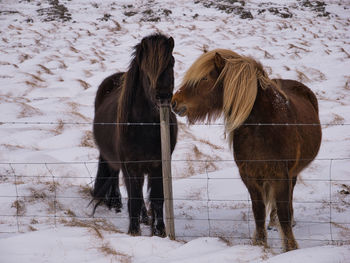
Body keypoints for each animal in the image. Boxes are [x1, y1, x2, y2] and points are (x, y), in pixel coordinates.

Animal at [92, 34, 178, 238]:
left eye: (171, 62)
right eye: (146, 68)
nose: (163, 96)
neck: (144, 126)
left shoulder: (158, 165)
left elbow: (157, 199)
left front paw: (160, 231)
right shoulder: (130, 166)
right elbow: (135, 198)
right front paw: (133, 231)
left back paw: (145, 217)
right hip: (112, 157)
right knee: (114, 175)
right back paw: (116, 203)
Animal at [171, 49, 322, 252]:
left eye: (204, 78)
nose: (174, 102)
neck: (262, 127)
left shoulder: (281, 174)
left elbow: (283, 212)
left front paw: (290, 248)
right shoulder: (249, 175)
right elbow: (258, 211)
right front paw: (259, 244)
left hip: (292, 174)